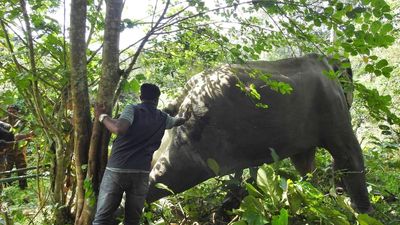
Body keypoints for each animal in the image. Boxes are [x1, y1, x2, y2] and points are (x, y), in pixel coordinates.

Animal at [148, 53, 374, 213]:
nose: (338, 191)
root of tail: (187, 89)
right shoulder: (331, 102)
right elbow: (348, 153)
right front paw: (364, 214)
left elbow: (303, 160)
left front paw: (313, 194)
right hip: (196, 130)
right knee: (169, 173)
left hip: (175, 128)